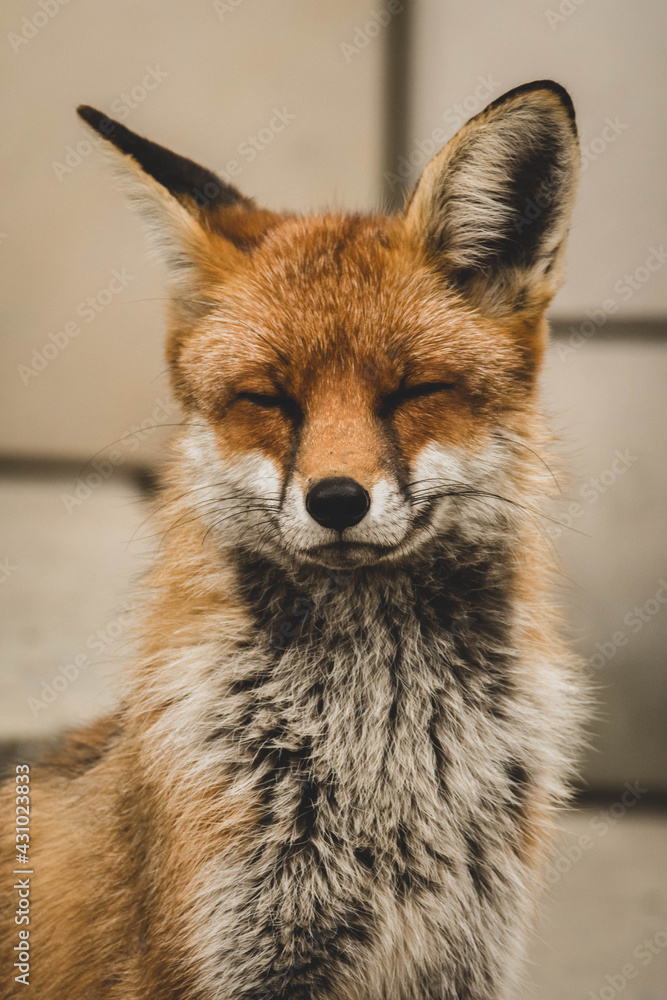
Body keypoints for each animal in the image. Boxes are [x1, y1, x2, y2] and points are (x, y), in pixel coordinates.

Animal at [1, 80, 586, 999]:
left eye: (411, 391)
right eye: (270, 400)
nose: (336, 499)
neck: (381, 754)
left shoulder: (461, 960)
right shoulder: (232, 954)